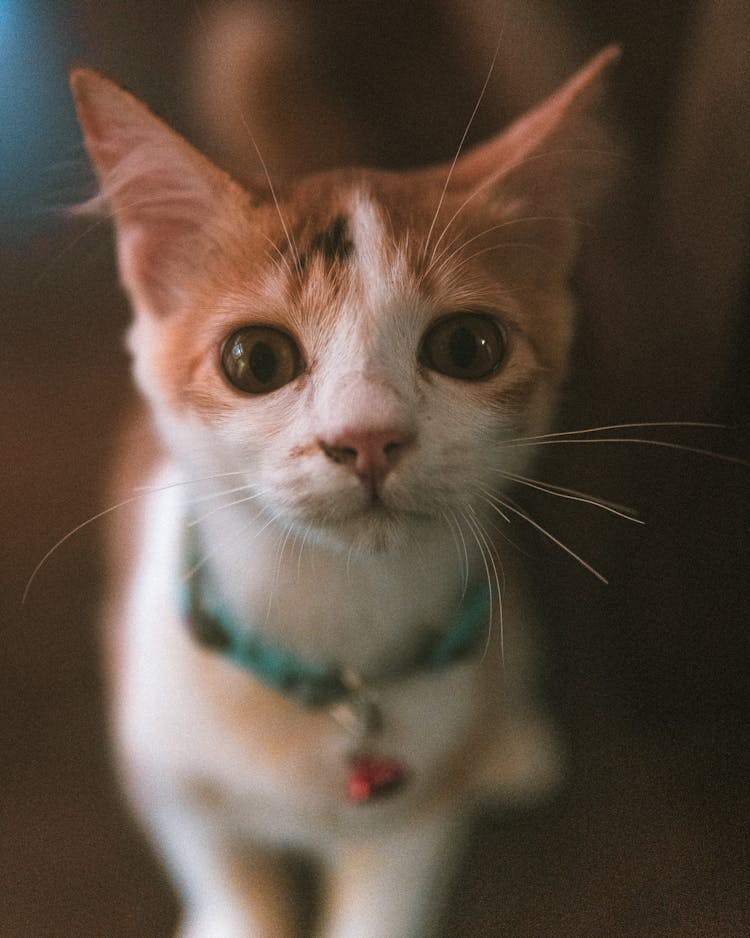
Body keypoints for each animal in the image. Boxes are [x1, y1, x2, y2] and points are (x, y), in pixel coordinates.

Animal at [70, 42, 624, 936]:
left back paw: (510, 742)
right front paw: (231, 914)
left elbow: (389, 891)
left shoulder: (417, 815)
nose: (368, 439)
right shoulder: (158, 751)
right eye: (256, 359)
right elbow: (218, 856)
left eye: (468, 346)